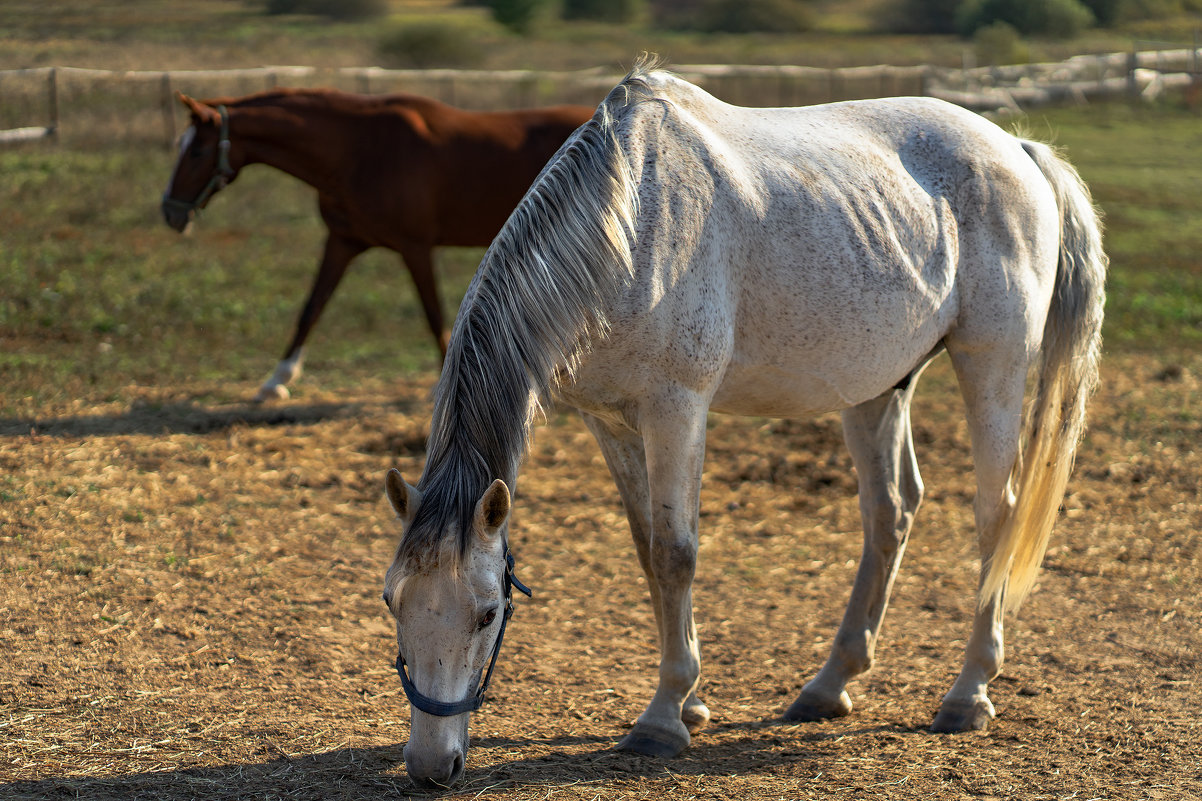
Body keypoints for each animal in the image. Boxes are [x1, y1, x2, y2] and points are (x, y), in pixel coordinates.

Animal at [159, 89, 591, 399]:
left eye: (197, 150)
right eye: (179, 146)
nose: (169, 211)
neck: (357, 150)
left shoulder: (415, 247)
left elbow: (434, 314)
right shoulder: (342, 242)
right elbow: (311, 308)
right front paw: (276, 380)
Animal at [379, 64, 1101, 784]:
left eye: (487, 613)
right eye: (392, 601)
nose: (430, 764)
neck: (627, 226)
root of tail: (1018, 150)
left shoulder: (676, 408)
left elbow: (676, 554)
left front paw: (663, 718)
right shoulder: (609, 422)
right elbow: (647, 550)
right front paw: (692, 703)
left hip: (993, 363)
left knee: (995, 514)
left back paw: (968, 693)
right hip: (875, 387)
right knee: (890, 511)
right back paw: (829, 685)